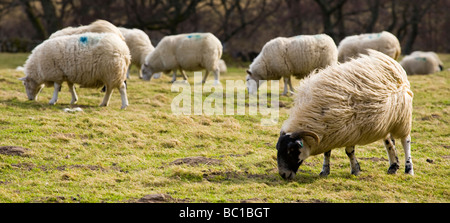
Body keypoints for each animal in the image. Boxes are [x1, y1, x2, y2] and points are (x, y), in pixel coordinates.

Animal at [278, 49, 414, 180]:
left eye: (291, 150)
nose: (283, 174)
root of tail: (390, 61)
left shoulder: (350, 129)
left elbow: (349, 152)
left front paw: (355, 170)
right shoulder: (329, 131)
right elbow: (327, 152)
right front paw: (325, 171)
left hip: (403, 117)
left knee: (405, 141)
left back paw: (409, 170)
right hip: (387, 121)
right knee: (389, 142)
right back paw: (393, 166)